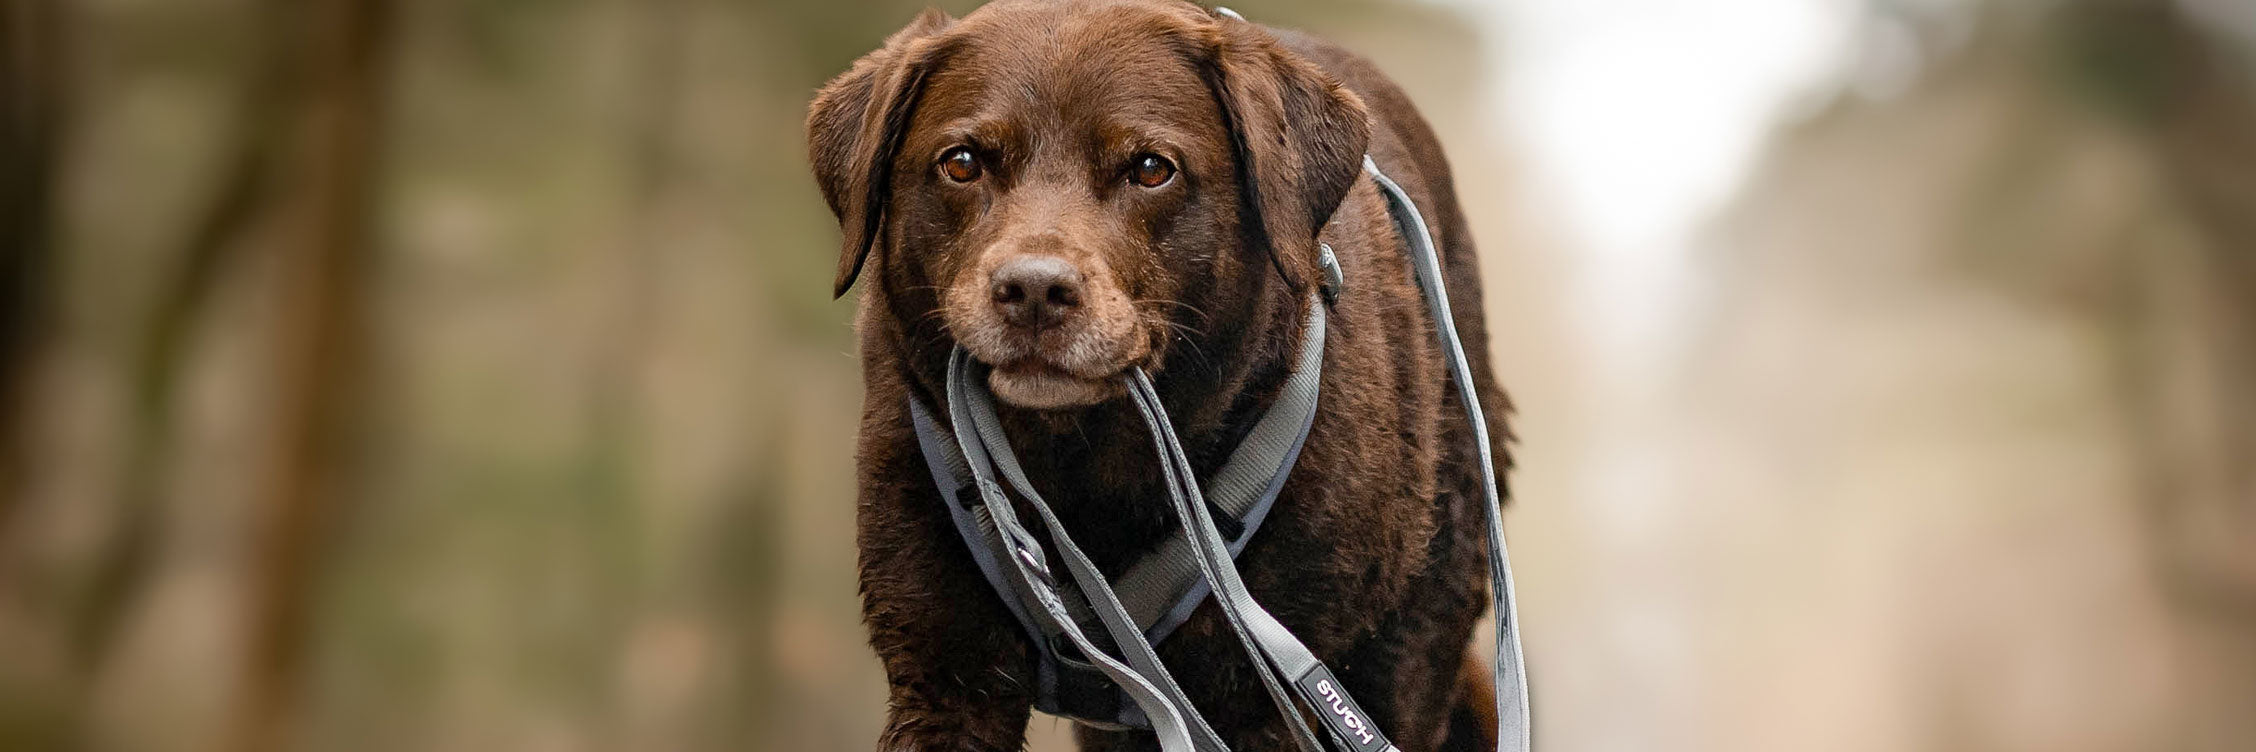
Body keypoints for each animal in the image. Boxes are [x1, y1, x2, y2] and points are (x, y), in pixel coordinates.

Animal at [812, 2, 1516, 745]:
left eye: (1151, 169)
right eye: (962, 163)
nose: (1033, 290)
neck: (1081, 473)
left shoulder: (1272, 695)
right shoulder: (945, 680)